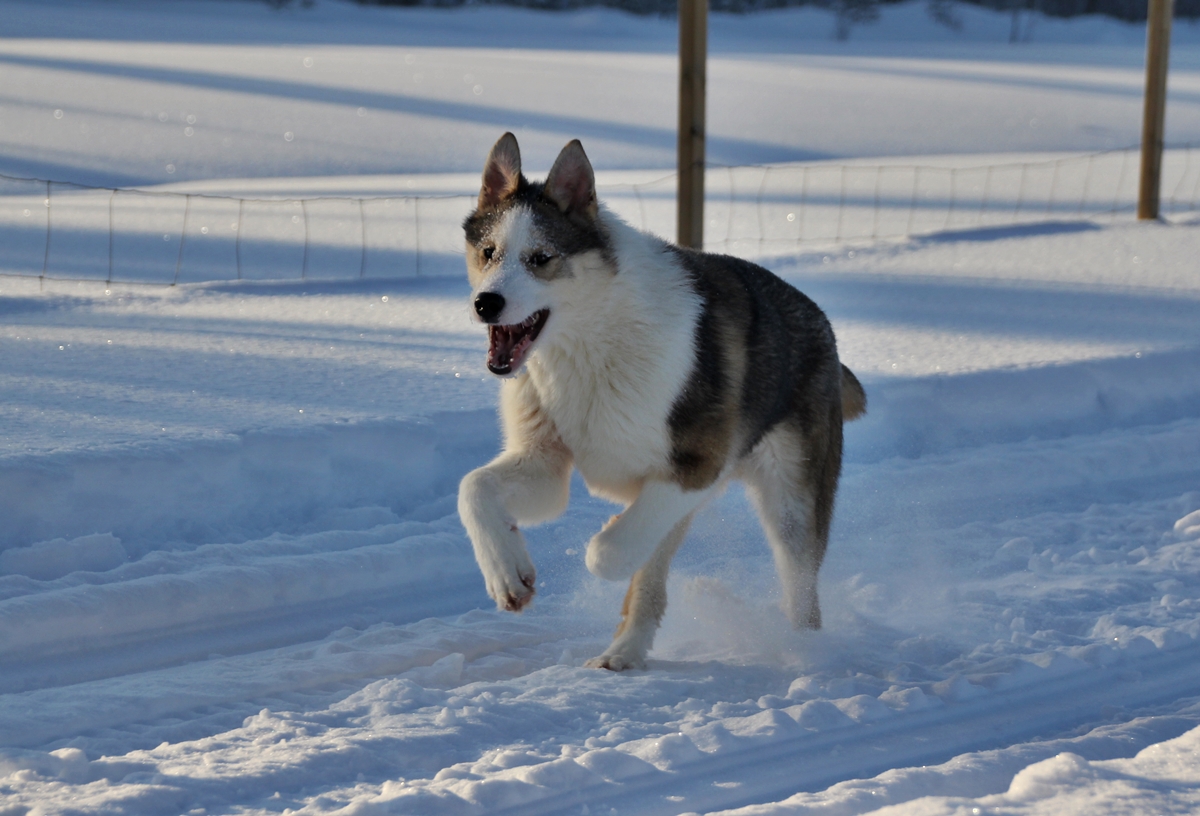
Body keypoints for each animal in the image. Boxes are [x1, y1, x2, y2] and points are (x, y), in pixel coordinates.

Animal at [457, 133, 865, 671]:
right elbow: (473, 488)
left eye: (540, 258)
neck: (588, 342)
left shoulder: (697, 465)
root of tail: (823, 325)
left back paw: (804, 652)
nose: (486, 303)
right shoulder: (546, 462)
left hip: (790, 505)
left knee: (800, 593)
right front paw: (508, 573)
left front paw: (603, 540)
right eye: (488, 252)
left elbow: (607, 552)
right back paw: (623, 653)